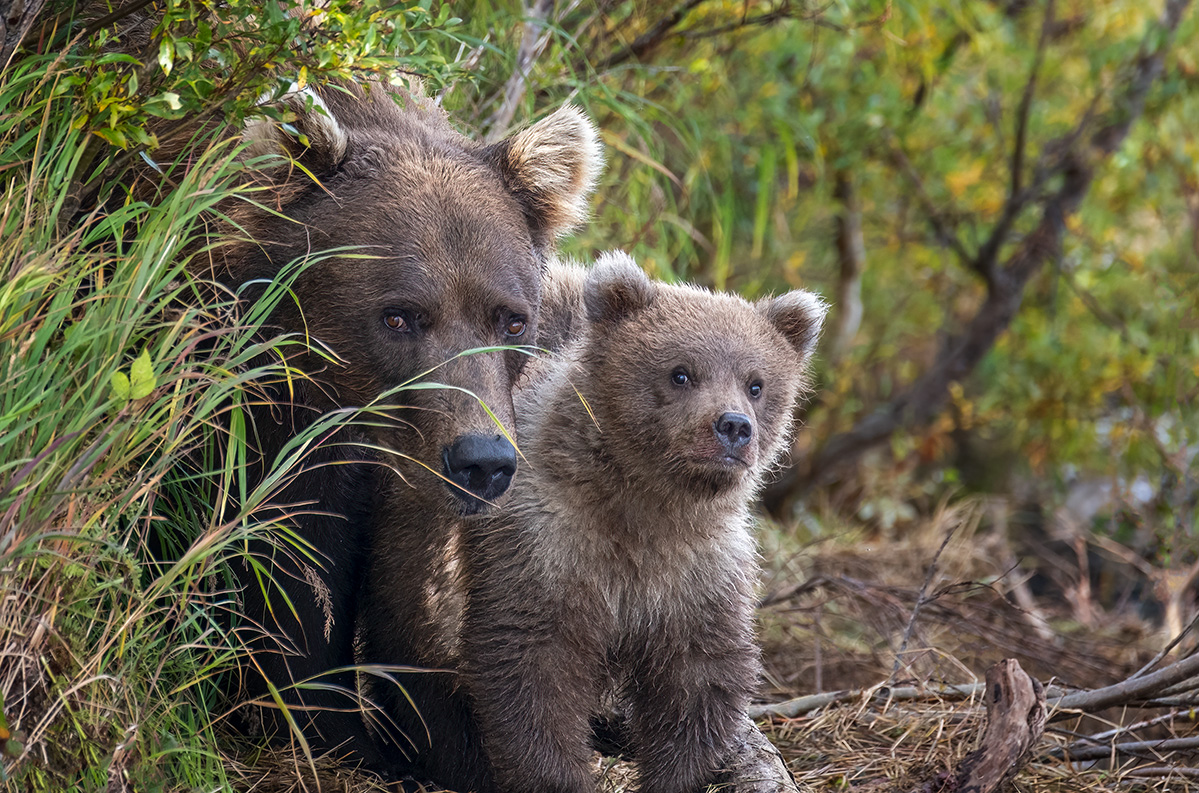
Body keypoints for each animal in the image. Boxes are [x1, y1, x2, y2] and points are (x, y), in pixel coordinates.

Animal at [362, 252, 826, 792]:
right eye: (680, 373)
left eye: (756, 383)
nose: (732, 426)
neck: (642, 502)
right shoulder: (544, 547)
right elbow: (532, 669)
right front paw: (557, 775)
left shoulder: (698, 572)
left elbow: (698, 681)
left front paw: (674, 774)